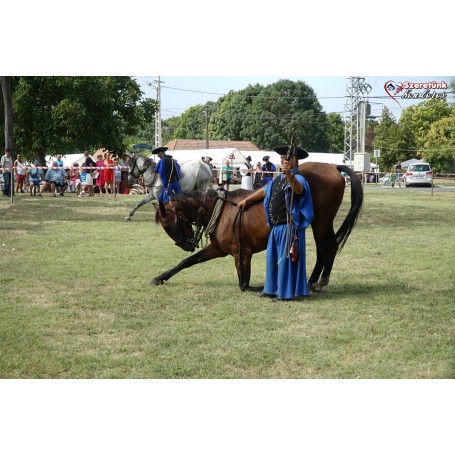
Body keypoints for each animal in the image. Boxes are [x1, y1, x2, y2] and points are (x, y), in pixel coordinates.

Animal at [152, 163, 364, 292]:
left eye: (169, 225)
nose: (186, 245)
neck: (219, 210)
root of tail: (333, 167)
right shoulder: (218, 249)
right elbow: (187, 262)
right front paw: (161, 277)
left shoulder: (242, 254)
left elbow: (244, 284)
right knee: (331, 246)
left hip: (320, 221)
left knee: (325, 247)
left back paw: (314, 281)